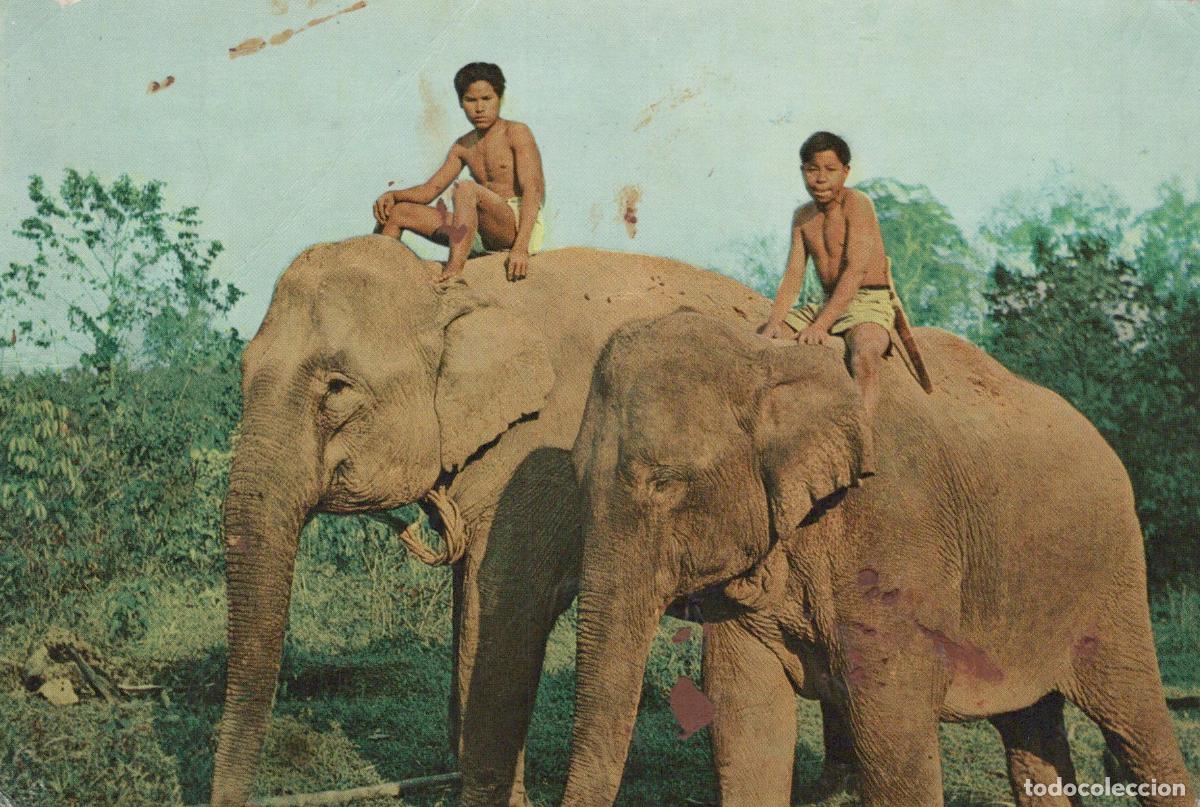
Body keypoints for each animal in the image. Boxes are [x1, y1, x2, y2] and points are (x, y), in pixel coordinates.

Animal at [209, 235, 843, 806]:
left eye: (337, 389)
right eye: (239, 371)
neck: (452, 286)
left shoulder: (536, 460)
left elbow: (502, 608)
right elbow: (471, 604)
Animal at [562, 309, 1194, 807]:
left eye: (665, 482)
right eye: (577, 479)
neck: (766, 361)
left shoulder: (897, 533)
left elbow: (891, 720)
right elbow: (745, 713)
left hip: (1111, 577)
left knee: (1136, 722)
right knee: (1030, 729)